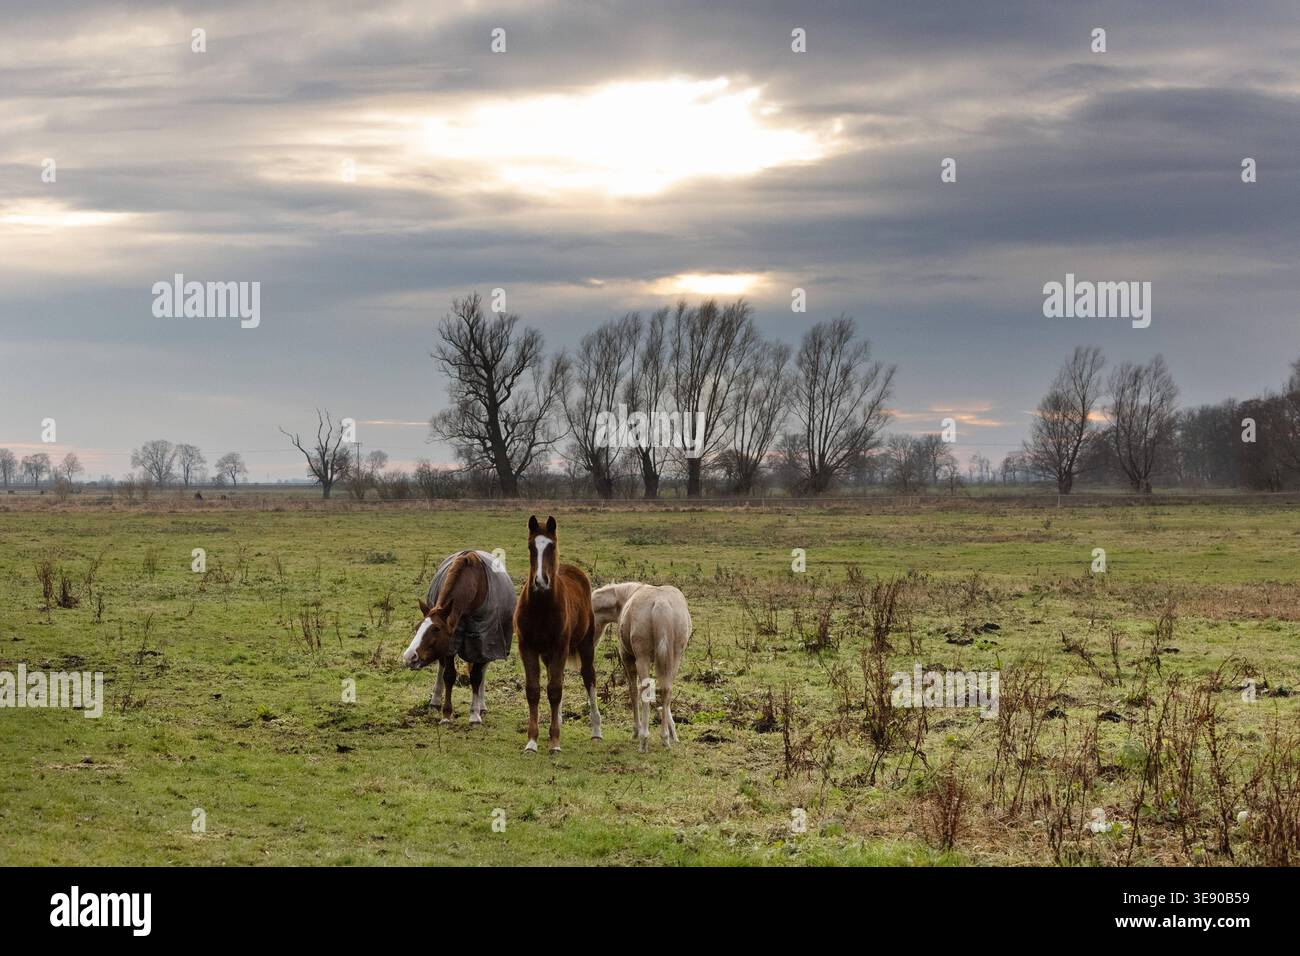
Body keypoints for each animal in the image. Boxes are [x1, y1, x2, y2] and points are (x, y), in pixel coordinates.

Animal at [403, 550, 515, 724]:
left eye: (436, 629)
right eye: (417, 627)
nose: (409, 657)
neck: (474, 584)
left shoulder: (482, 642)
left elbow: (476, 677)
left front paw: (475, 715)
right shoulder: (451, 642)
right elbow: (449, 675)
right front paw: (446, 715)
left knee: (483, 670)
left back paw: (482, 705)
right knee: (441, 667)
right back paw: (435, 701)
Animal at [513, 515, 599, 753]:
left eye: (551, 546)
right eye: (531, 546)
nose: (540, 581)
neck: (541, 607)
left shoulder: (560, 647)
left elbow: (555, 690)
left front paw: (554, 742)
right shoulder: (527, 647)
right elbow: (534, 690)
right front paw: (532, 741)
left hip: (586, 644)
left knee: (589, 677)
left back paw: (596, 731)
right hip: (547, 654)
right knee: (556, 676)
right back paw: (558, 719)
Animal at [592, 582, 692, 752]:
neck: (624, 598)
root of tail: (661, 603)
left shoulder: (628, 659)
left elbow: (633, 692)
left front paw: (636, 731)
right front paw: (673, 732)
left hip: (642, 659)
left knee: (645, 689)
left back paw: (643, 739)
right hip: (675, 658)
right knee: (666, 690)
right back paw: (665, 737)